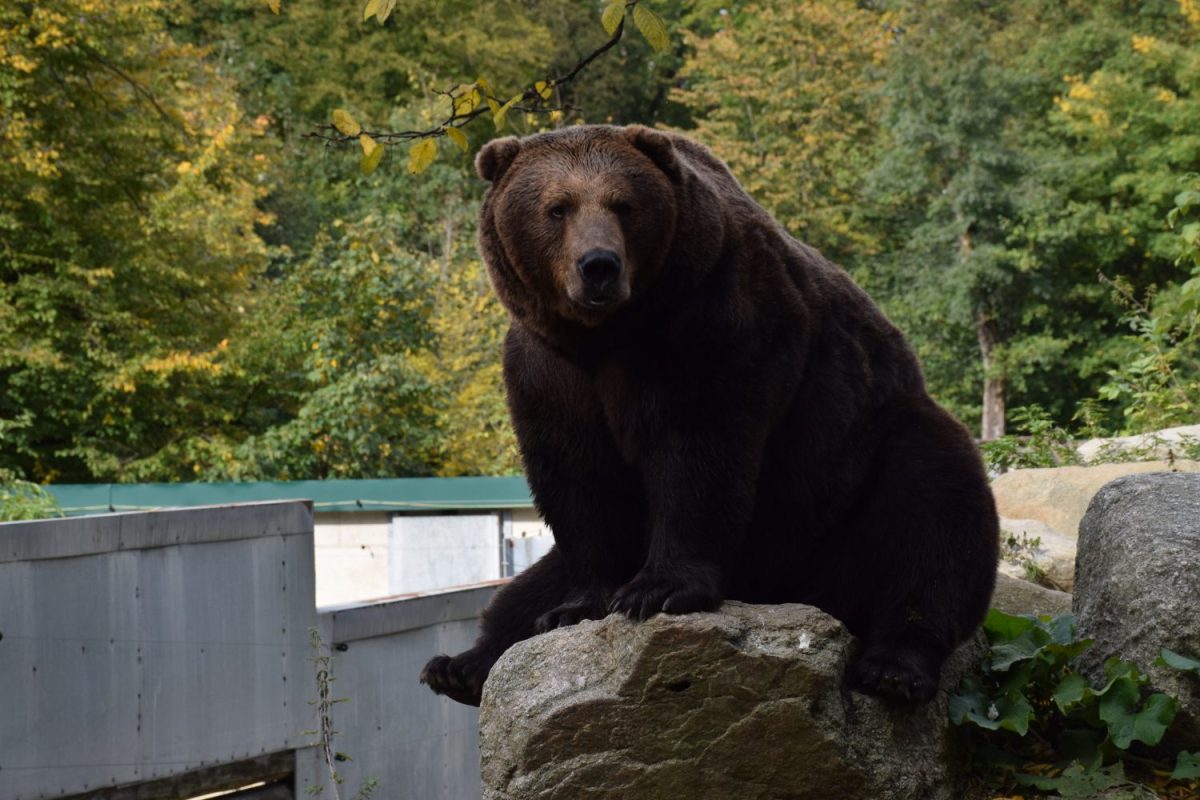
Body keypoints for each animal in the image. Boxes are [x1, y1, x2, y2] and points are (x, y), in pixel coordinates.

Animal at [417, 123, 998, 705]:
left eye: (623, 204)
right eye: (557, 207)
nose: (599, 265)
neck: (609, 336)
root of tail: (789, 590)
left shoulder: (711, 326)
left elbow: (699, 453)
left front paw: (657, 590)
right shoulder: (547, 369)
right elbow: (578, 479)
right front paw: (577, 605)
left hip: (865, 460)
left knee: (932, 514)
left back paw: (893, 668)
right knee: (520, 591)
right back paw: (461, 665)